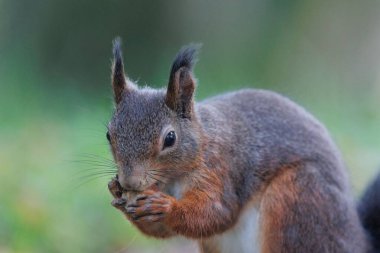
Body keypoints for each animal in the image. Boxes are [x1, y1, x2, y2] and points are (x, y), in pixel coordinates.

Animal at [106, 38, 380, 253]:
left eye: (170, 138)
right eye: (109, 134)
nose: (130, 181)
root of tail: (357, 241)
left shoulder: (221, 169)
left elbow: (217, 212)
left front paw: (166, 206)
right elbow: (161, 230)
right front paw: (116, 190)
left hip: (297, 197)